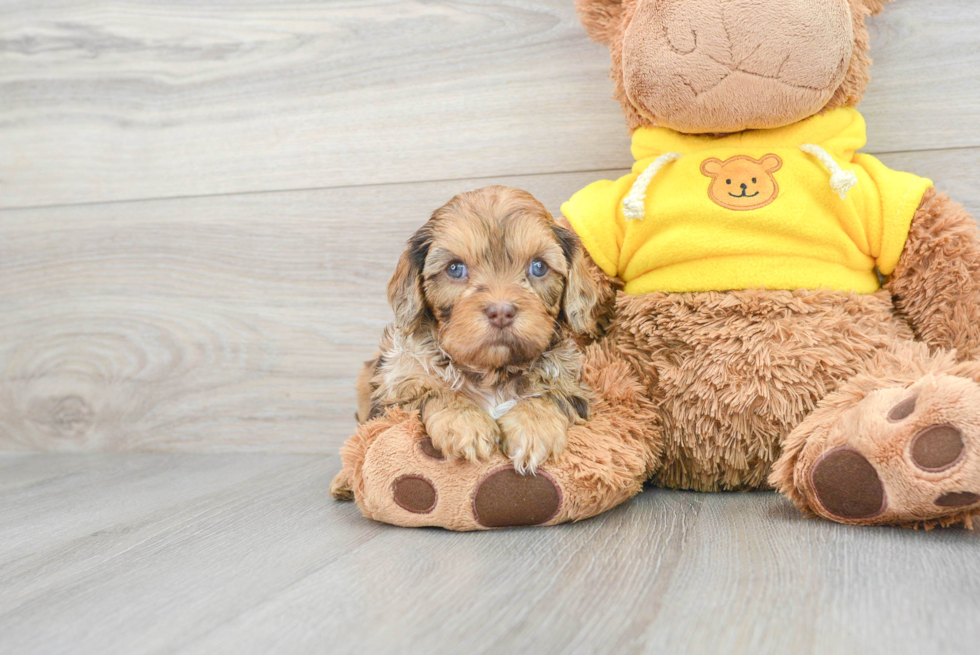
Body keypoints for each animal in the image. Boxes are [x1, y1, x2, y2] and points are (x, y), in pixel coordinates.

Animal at [356, 187, 608, 474]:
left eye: (539, 266)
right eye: (455, 268)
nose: (501, 312)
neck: (492, 372)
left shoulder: (573, 386)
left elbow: (552, 396)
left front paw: (533, 427)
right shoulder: (395, 391)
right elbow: (435, 392)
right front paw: (465, 423)